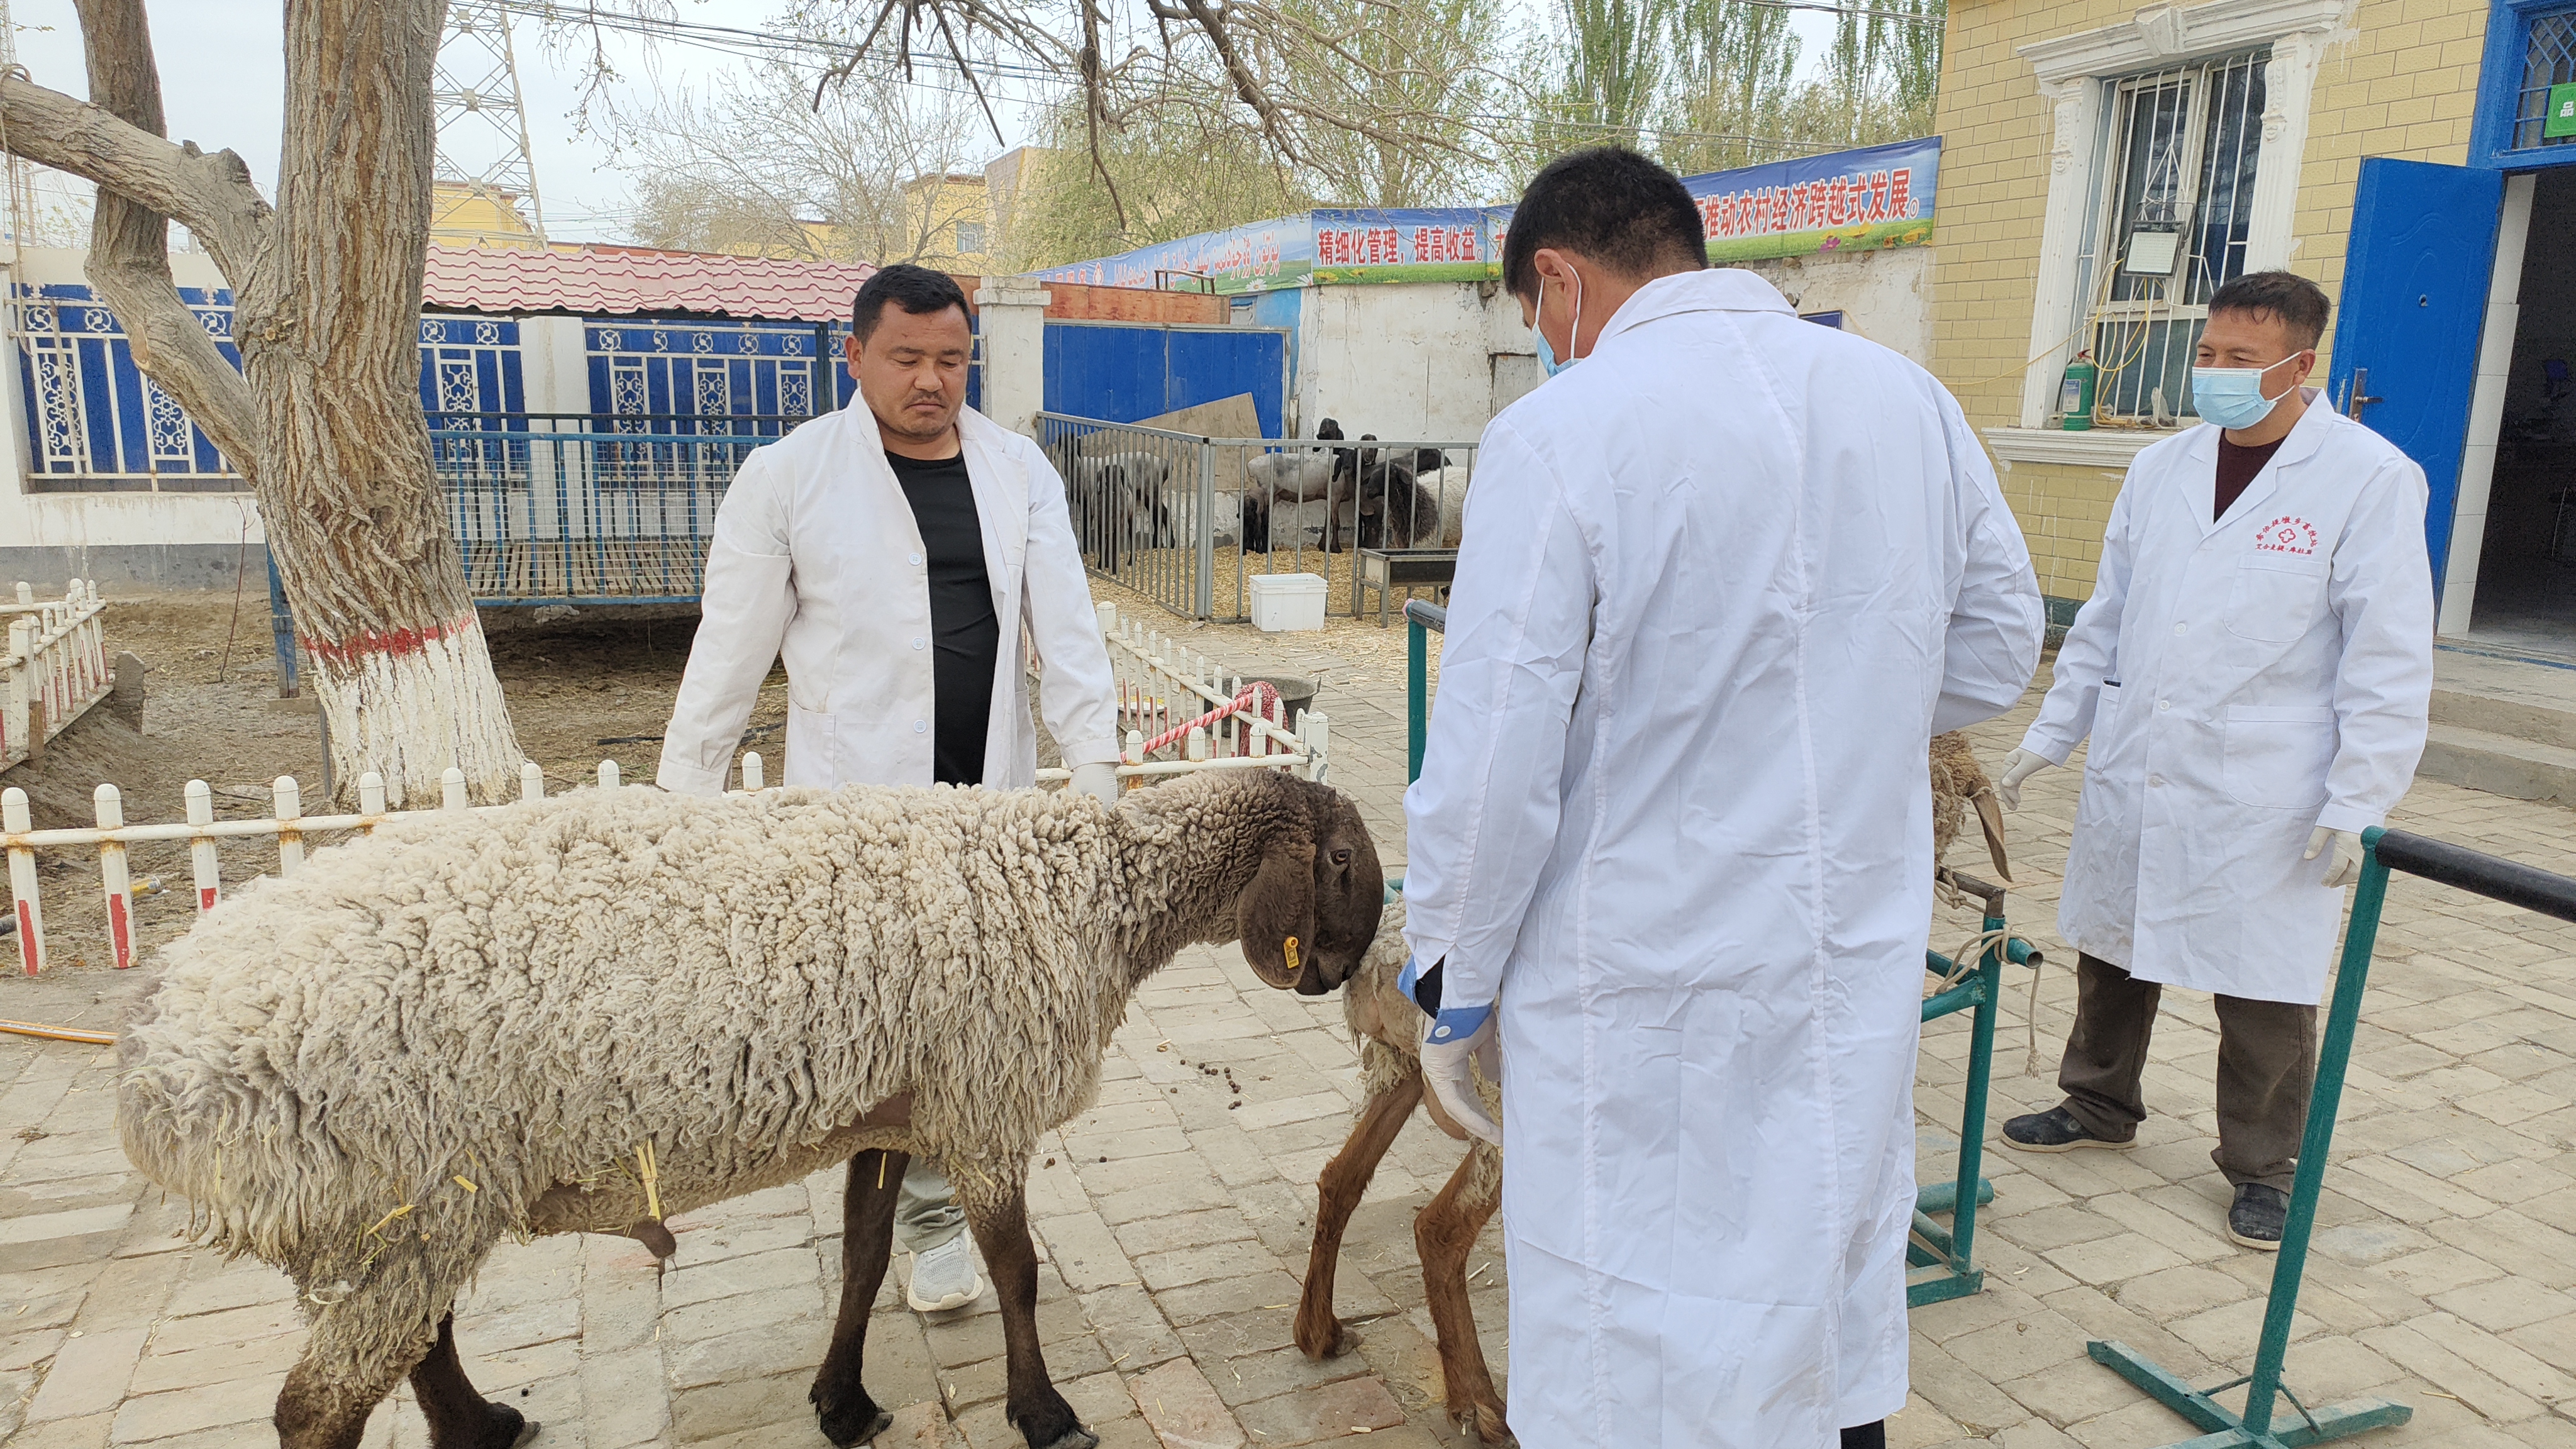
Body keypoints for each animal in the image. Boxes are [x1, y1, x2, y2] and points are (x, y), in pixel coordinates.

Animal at [115, 768, 1386, 1449]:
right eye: (1342, 867)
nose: (1341, 979)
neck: (1094, 890)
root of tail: (155, 1066)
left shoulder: (897, 1107)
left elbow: (865, 1255)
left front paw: (843, 1400)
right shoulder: (981, 1104)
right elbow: (1019, 1272)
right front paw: (1044, 1410)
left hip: (416, 1202)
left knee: (415, 1344)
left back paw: (483, 1428)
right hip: (400, 1188)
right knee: (318, 1403)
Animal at [1291, 733, 2009, 1443]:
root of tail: (1378, 965)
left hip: (1404, 1071)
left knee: (1340, 1177)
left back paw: (1319, 1332)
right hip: (1503, 1106)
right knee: (1437, 1230)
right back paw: (1485, 1407)